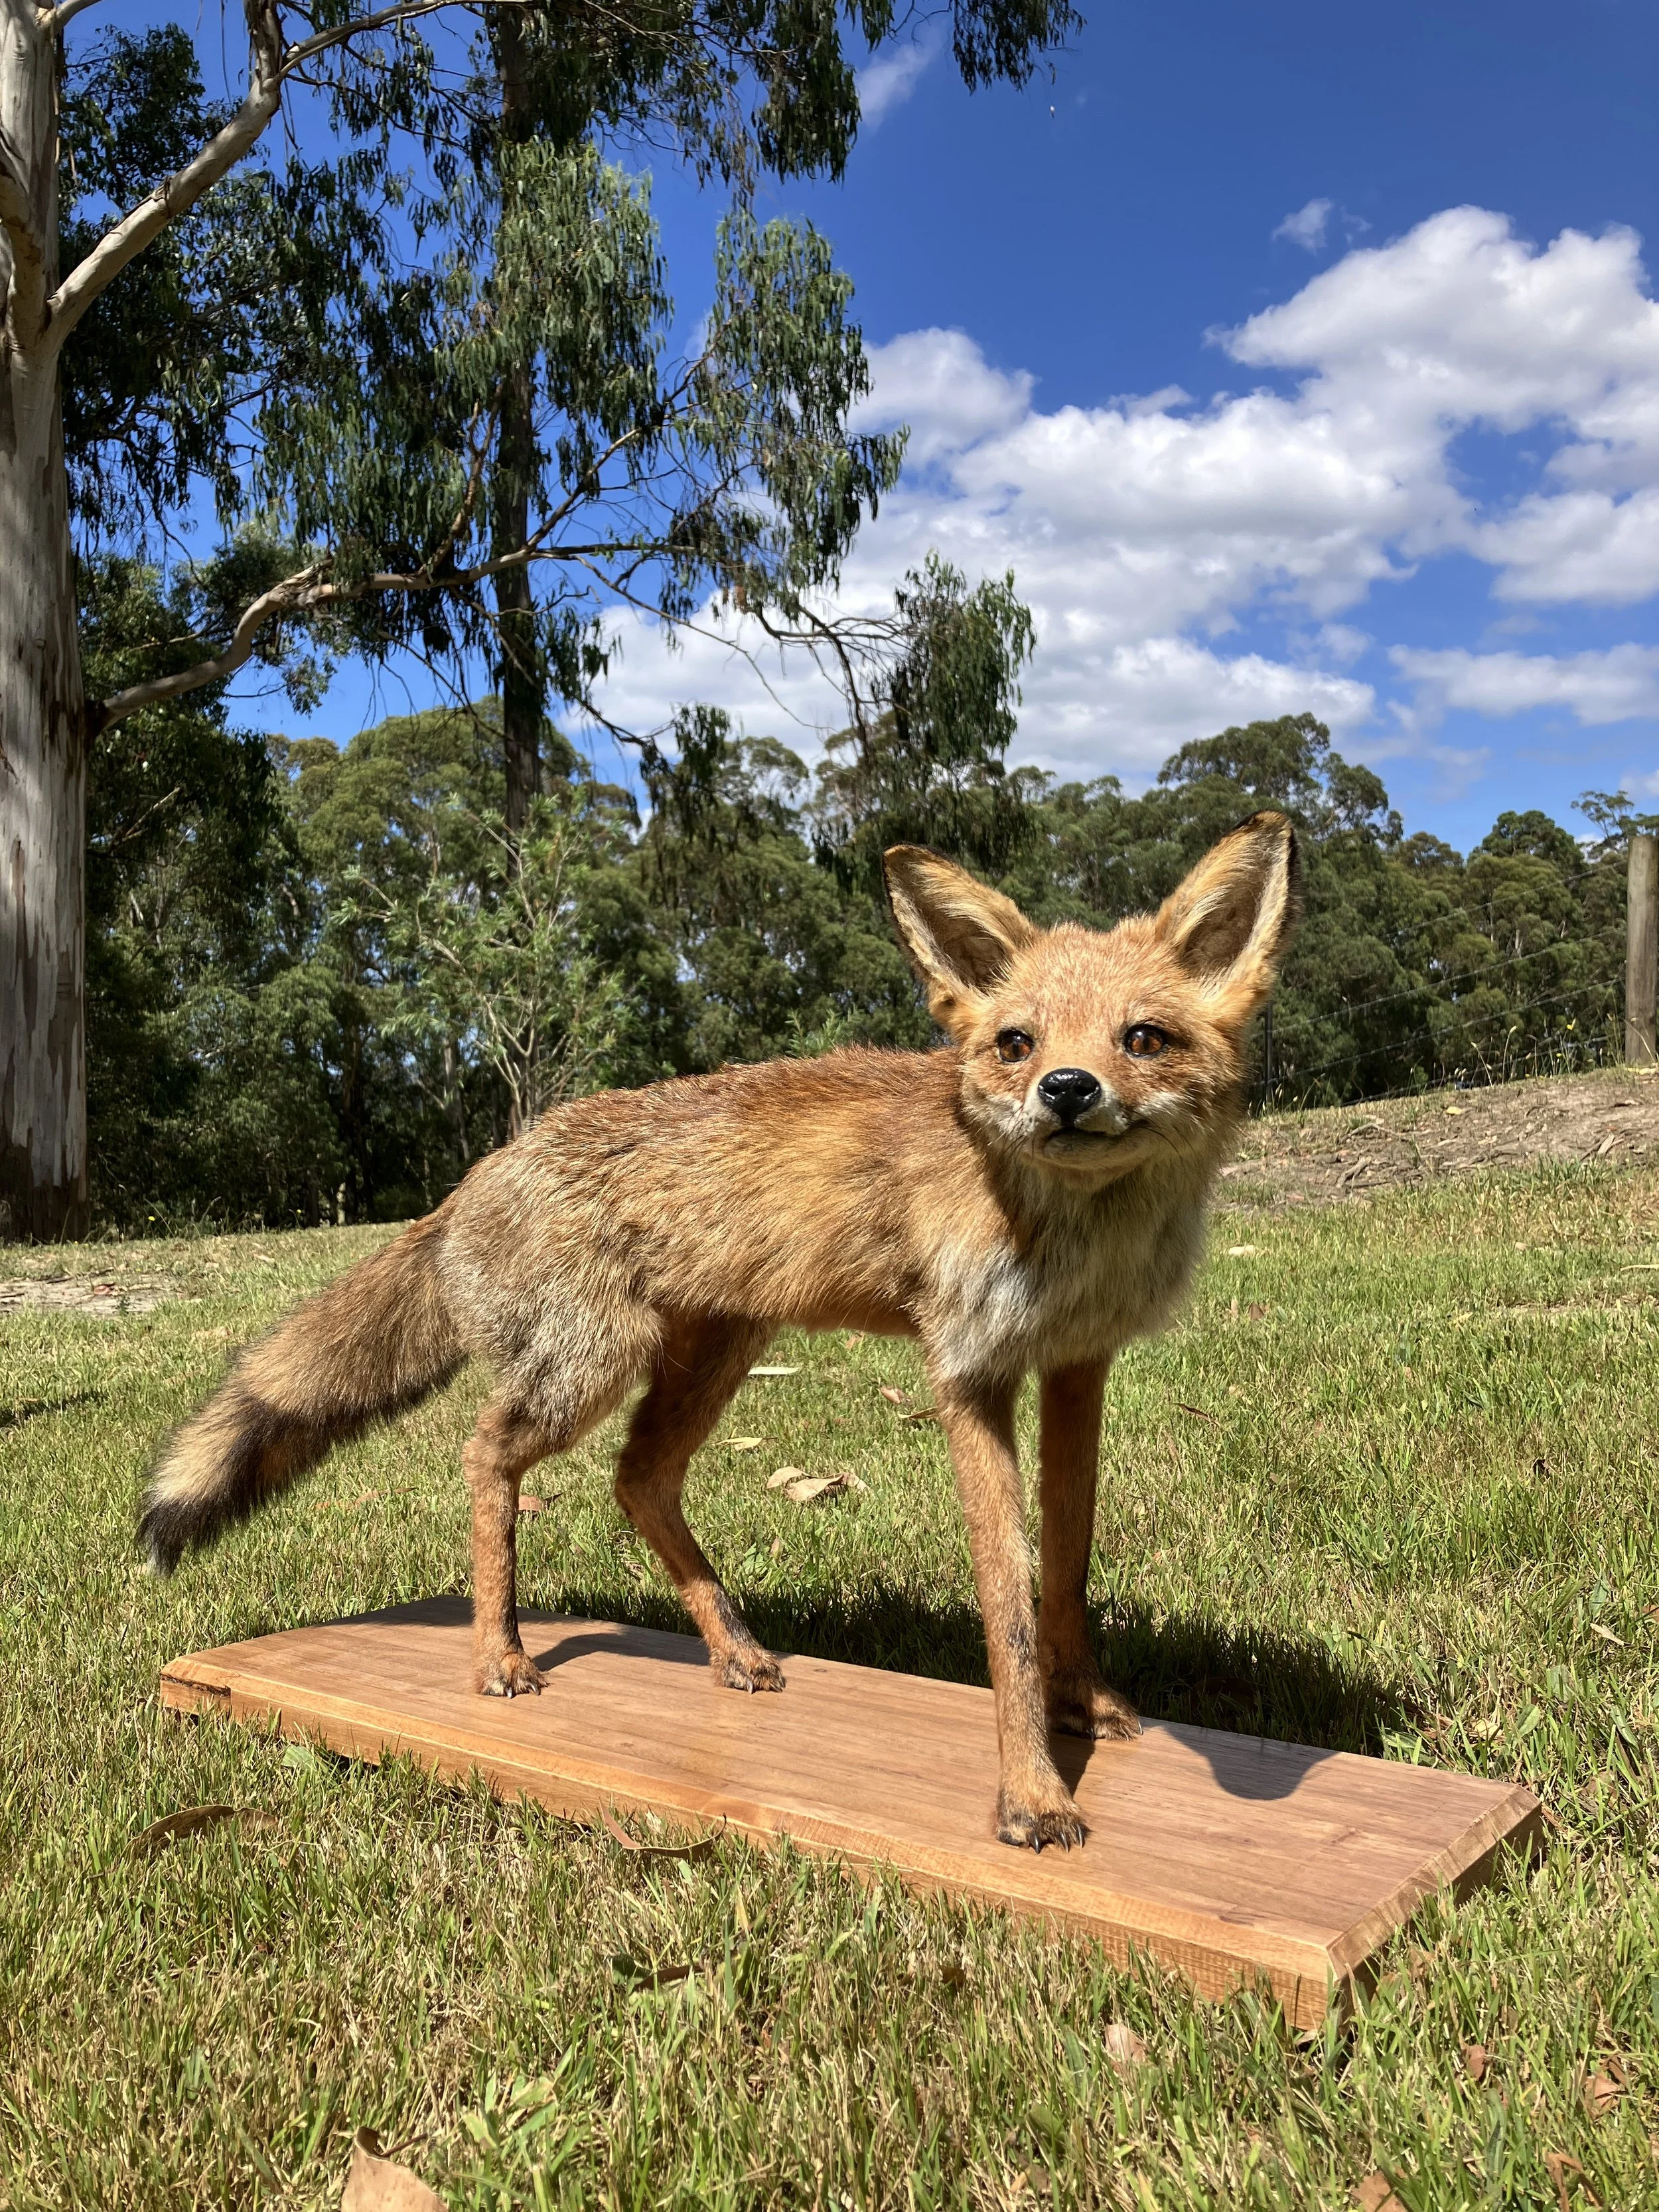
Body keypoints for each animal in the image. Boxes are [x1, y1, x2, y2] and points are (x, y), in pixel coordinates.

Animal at [141, 809, 1299, 1850]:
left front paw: (1086, 1712)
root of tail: (477, 1173)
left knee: (637, 1480)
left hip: (714, 1358)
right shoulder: (969, 1373)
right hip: (591, 1370)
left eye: (1143, 1039)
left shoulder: (1075, 1364)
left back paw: (733, 1651)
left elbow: (1065, 1567)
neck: (1071, 1234)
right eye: (1015, 1045)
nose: (1066, 1089)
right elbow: (1005, 1606)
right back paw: (500, 1655)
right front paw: (1032, 1797)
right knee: (487, 1453)